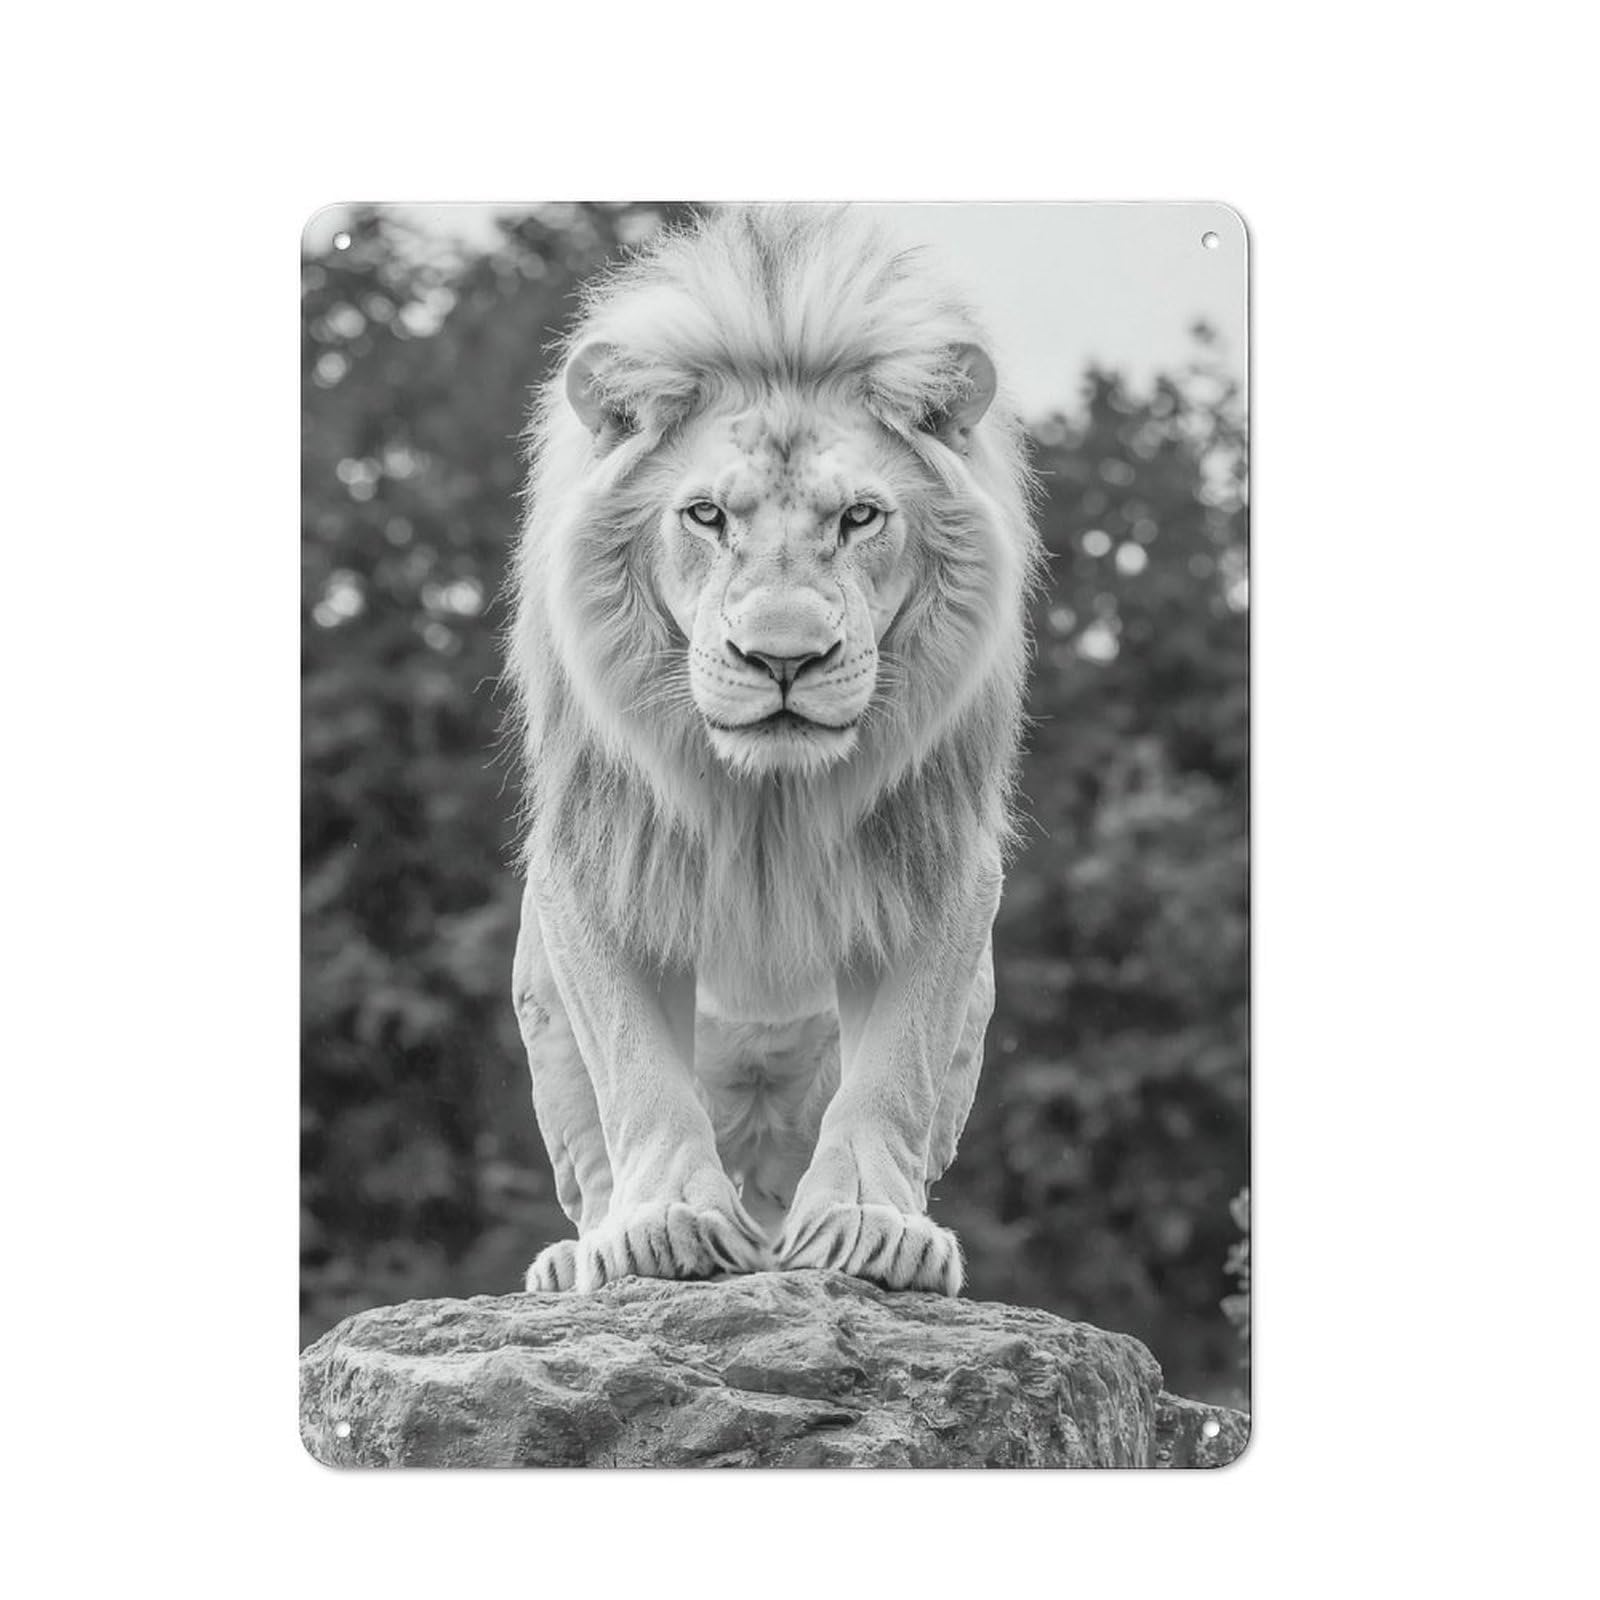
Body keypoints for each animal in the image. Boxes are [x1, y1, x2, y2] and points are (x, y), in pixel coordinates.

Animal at [507, 205, 1040, 1297]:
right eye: (707, 515)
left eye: (860, 516)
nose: (784, 658)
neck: (768, 798)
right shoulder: (595, 850)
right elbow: (635, 1068)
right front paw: (661, 1227)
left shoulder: (939, 856)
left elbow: (895, 1070)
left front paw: (874, 1227)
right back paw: (572, 1259)